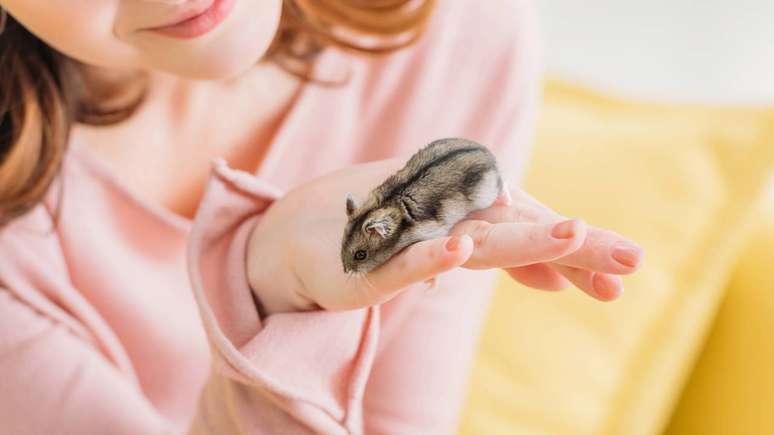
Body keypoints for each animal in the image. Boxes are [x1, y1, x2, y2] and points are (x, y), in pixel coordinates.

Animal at [341, 138, 510, 274]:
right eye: (341, 244)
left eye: (361, 255)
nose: (346, 271)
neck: (389, 205)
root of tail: (488, 153)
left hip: (486, 195)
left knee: (503, 185)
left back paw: (507, 201)